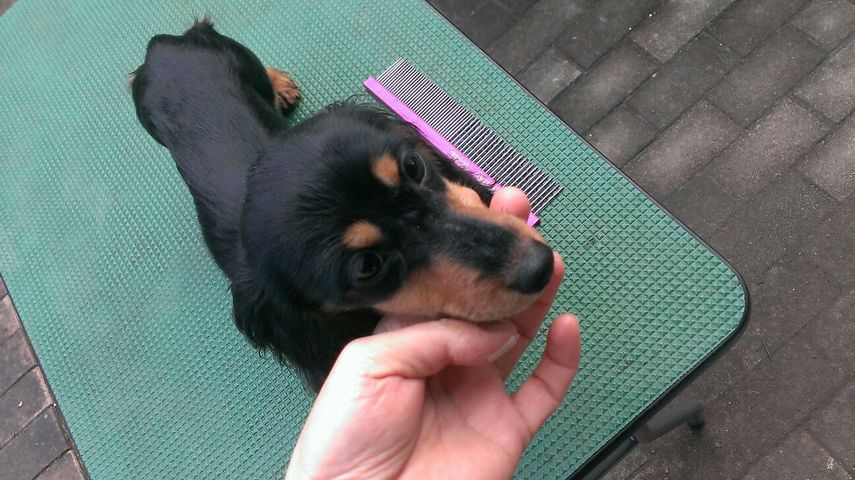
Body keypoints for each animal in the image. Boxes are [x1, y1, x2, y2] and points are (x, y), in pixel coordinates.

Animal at [130, 19, 554, 391]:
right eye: (367, 267)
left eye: (414, 167)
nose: (540, 266)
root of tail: (160, 49)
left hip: (239, 57)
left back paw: (280, 84)